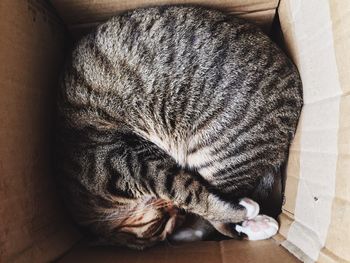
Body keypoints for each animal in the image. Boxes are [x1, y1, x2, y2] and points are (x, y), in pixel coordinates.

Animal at [56, 5, 302, 251]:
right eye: (161, 226)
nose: (179, 215)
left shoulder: (134, 162)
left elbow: (191, 194)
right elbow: (194, 197)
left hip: (218, 154)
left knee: (217, 222)